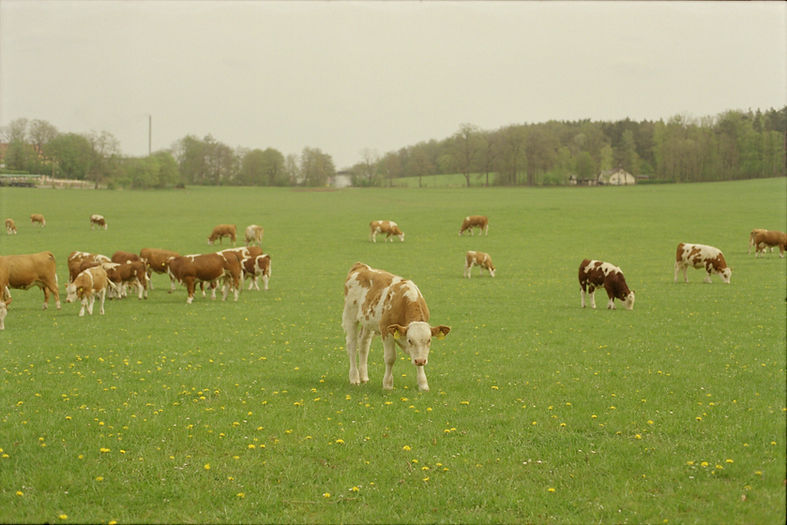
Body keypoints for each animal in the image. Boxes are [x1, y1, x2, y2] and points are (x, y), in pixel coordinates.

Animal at [342, 262, 450, 391]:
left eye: (429, 340)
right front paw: (387, 384)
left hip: (368, 322)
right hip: (350, 316)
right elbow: (390, 358)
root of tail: (361, 266)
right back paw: (354, 378)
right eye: (410, 340)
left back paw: (364, 377)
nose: (420, 361)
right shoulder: (386, 330)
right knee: (352, 345)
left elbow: (418, 356)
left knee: (364, 344)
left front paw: (423, 384)